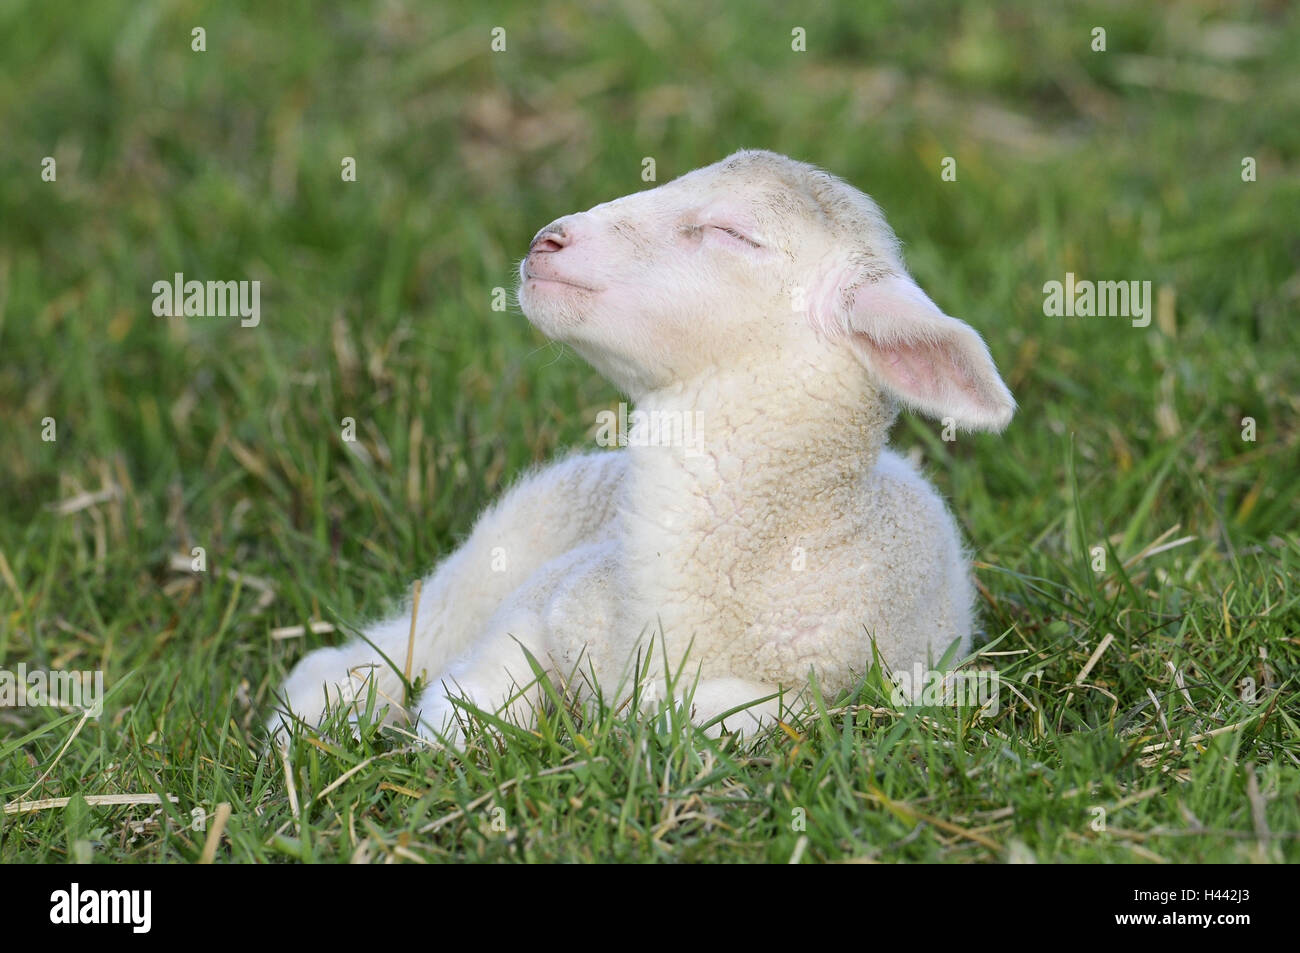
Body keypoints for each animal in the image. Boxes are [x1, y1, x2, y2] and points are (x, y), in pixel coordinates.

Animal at [270, 149, 1015, 744]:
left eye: (733, 233)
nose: (547, 241)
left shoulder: (839, 688)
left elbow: (728, 712)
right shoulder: (548, 593)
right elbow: (479, 688)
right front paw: (452, 732)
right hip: (496, 552)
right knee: (398, 641)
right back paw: (324, 709)